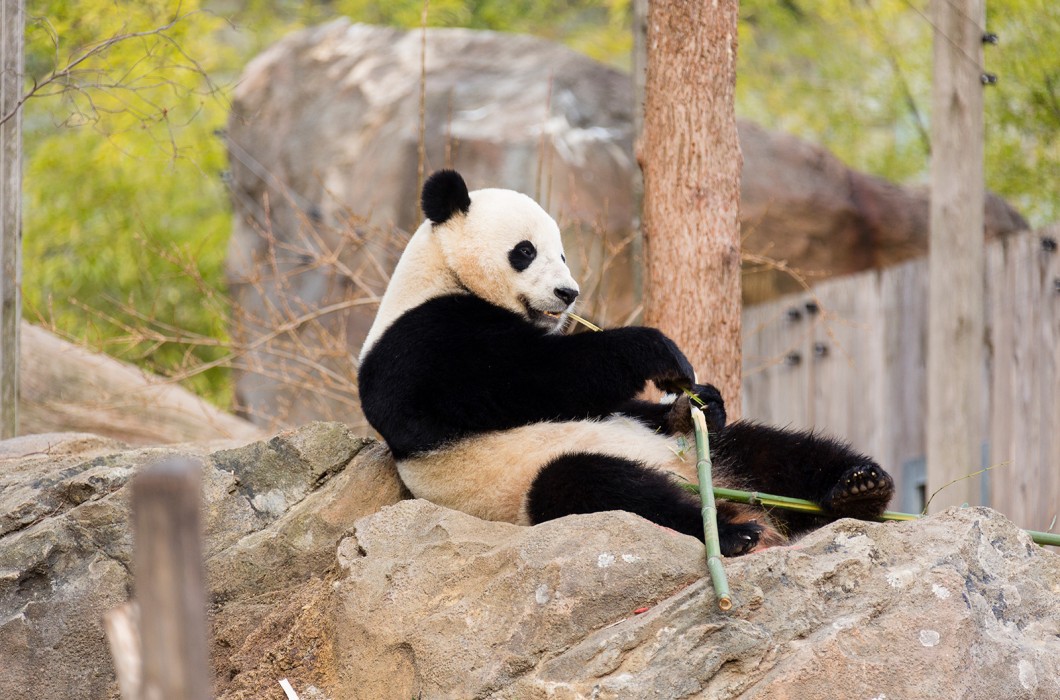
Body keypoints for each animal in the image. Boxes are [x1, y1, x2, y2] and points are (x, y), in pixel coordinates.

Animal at [358, 170, 894, 555]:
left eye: (563, 254)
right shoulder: (423, 346)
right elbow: (526, 379)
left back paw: (860, 487)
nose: (568, 293)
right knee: (600, 485)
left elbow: (626, 403)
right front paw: (657, 351)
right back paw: (730, 532)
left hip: (711, 452)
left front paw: (695, 400)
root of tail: (709, 484)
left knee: (769, 448)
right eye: (525, 251)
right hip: (522, 489)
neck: (442, 273)